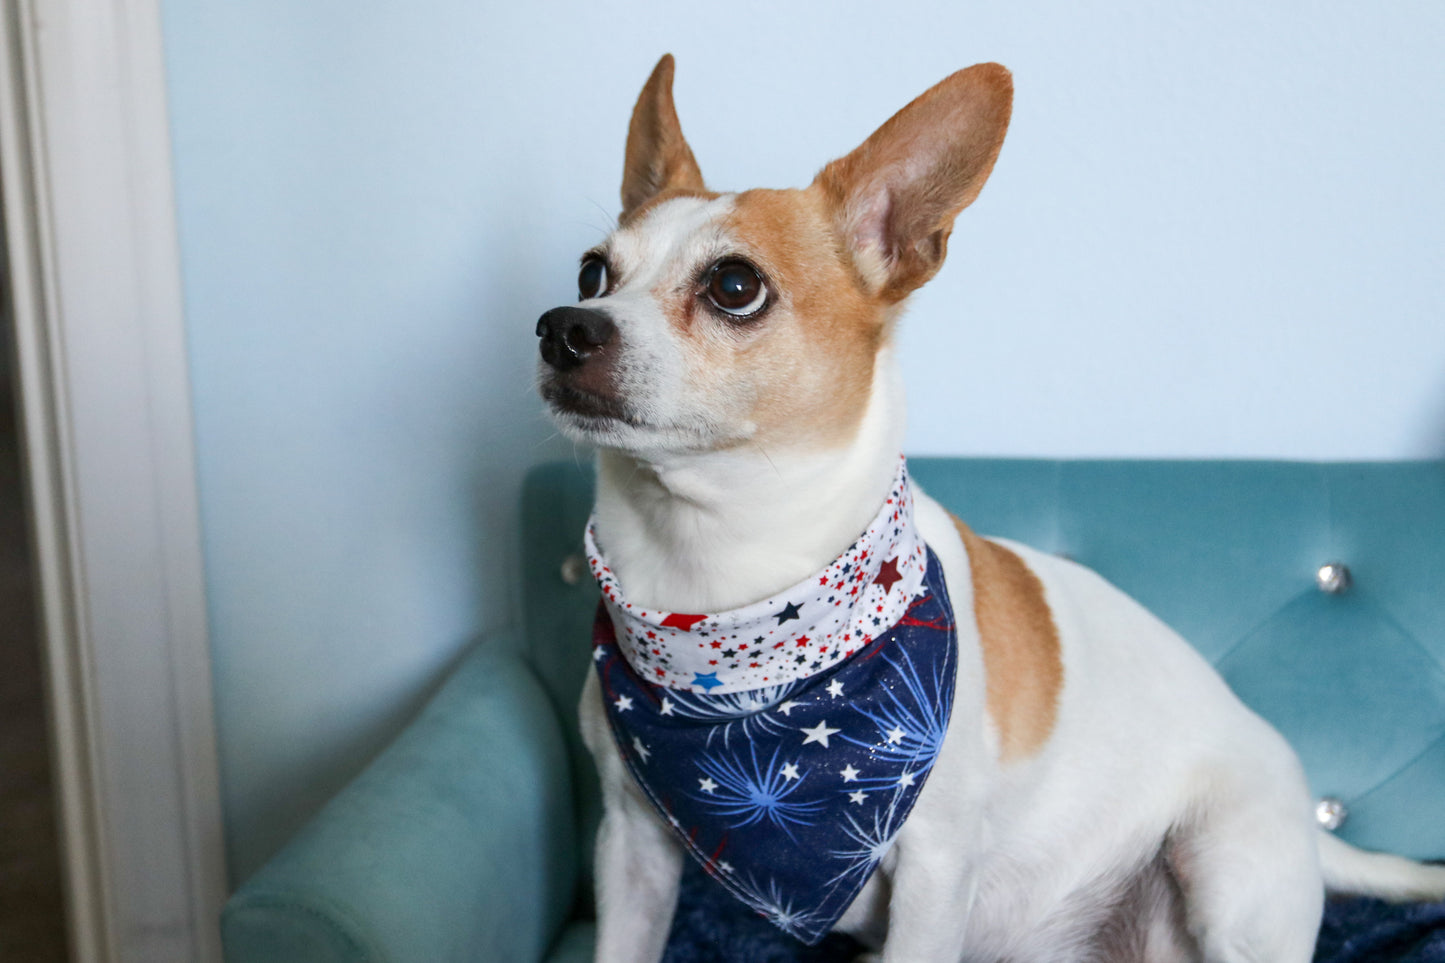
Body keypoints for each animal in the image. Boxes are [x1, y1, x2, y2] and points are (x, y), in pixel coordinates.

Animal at [537, 54, 1439, 960]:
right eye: (590, 272)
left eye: (734, 285)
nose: (562, 327)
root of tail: (1306, 822)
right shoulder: (630, 851)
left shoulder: (933, 872)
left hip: (1225, 871)